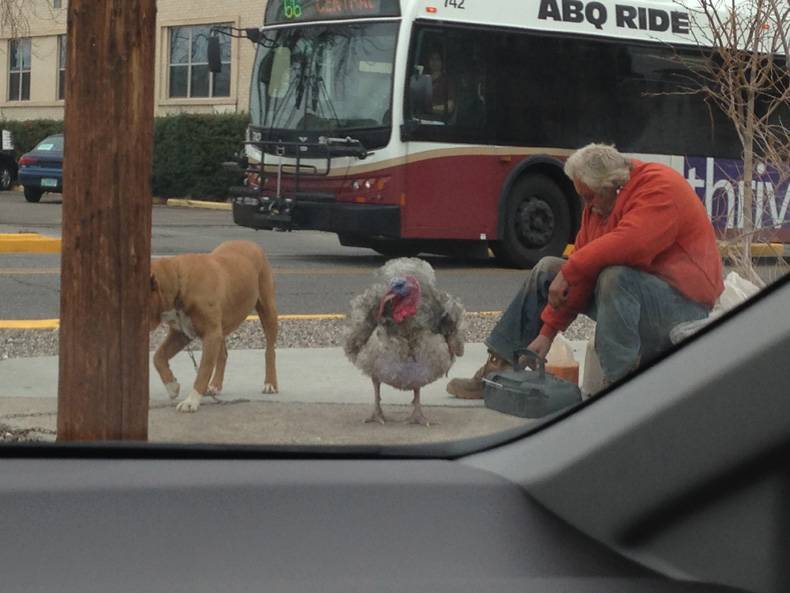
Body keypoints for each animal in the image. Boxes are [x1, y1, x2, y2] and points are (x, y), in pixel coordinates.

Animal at [149, 240, 278, 412]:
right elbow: (158, 357)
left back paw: (270, 383)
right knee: (222, 354)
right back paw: (215, 385)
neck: (179, 281)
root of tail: (250, 242)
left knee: (270, 350)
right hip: (221, 326)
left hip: (267, 309)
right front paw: (172, 386)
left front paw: (191, 400)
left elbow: (203, 370)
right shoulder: (181, 334)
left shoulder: (211, 334)